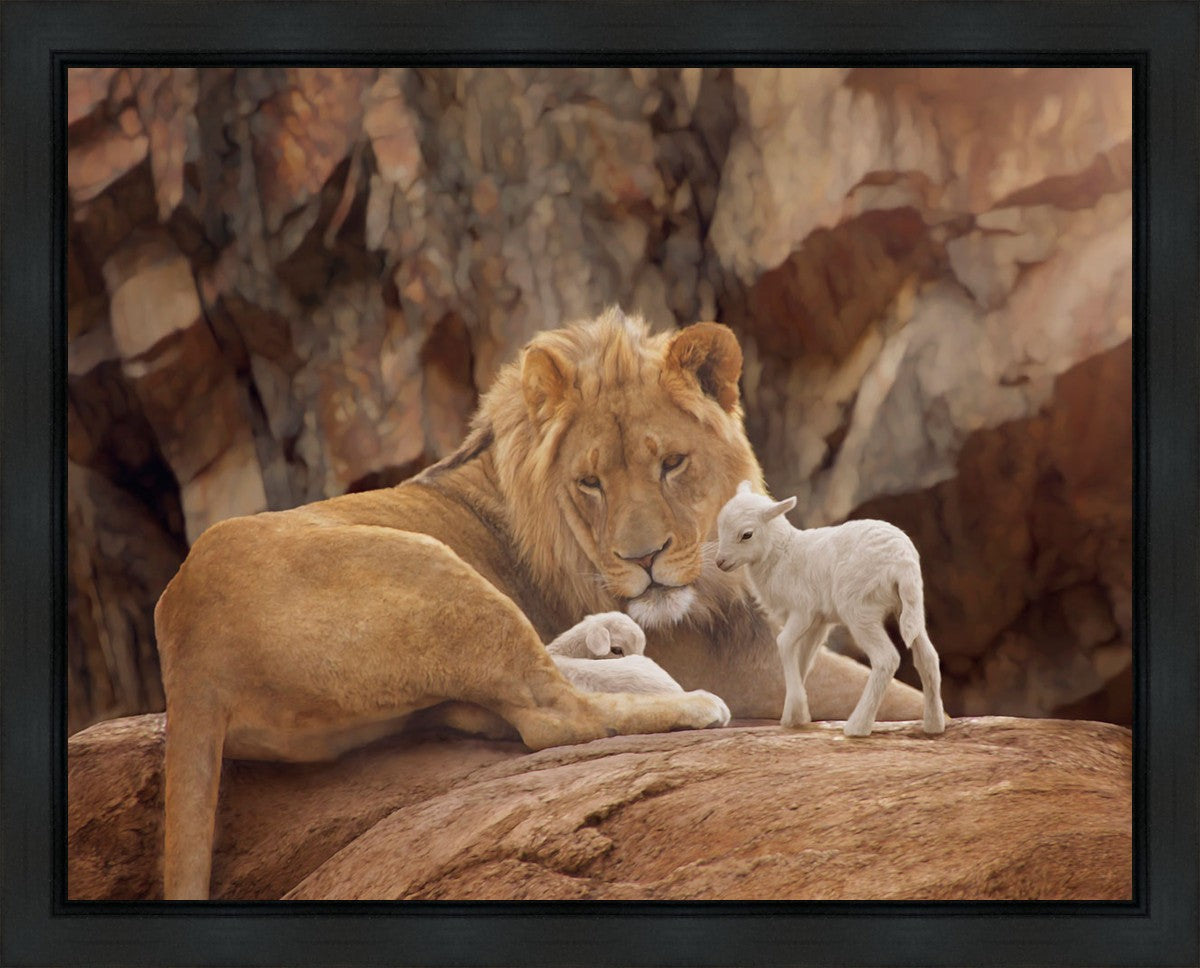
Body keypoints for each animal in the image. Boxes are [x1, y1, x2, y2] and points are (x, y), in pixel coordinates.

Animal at [715, 481, 946, 737]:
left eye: (746, 534)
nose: (720, 562)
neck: (782, 554)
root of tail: (902, 562)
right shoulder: (818, 622)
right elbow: (804, 659)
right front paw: (795, 715)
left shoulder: (803, 609)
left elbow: (784, 643)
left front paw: (796, 711)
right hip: (909, 606)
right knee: (928, 657)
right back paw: (934, 725)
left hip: (859, 608)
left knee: (886, 659)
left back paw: (857, 726)